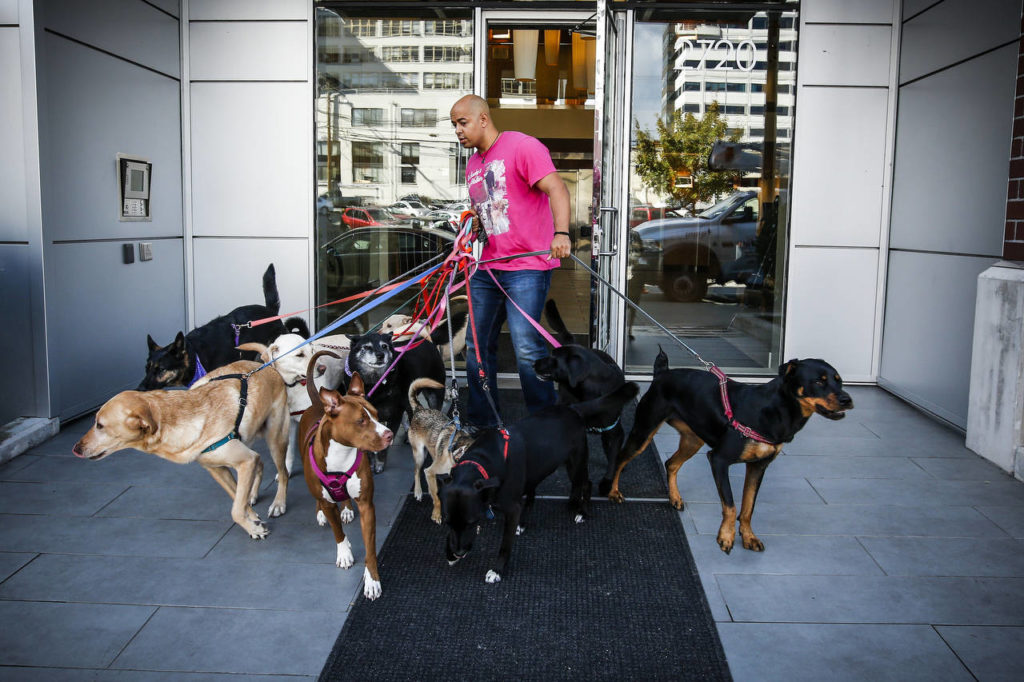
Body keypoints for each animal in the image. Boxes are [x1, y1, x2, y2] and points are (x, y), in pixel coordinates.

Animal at [73, 360, 288, 536]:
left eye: (100, 425)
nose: (76, 449)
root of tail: (264, 364)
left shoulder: (245, 461)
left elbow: (235, 510)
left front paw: (254, 529)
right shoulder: (217, 469)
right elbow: (237, 499)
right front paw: (253, 520)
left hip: (275, 438)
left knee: (283, 472)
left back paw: (278, 503)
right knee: (260, 462)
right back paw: (252, 493)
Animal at [299, 350, 393, 602]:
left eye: (377, 415)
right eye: (361, 420)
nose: (389, 434)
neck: (342, 454)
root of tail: (318, 403)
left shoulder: (367, 505)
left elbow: (370, 549)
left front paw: (371, 580)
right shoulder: (328, 501)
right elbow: (338, 532)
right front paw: (344, 553)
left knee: (345, 500)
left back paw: (348, 509)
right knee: (321, 501)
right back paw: (321, 512)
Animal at [405, 376, 473, 520]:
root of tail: (420, 409)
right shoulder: (429, 472)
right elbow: (437, 497)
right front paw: (436, 513)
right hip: (419, 454)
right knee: (416, 471)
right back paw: (418, 491)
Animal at [444, 378, 634, 581]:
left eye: (472, 522)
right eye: (447, 523)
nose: (459, 553)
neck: (481, 461)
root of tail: (572, 409)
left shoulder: (512, 508)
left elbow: (505, 545)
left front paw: (497, 570)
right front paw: (449, 553)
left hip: (577, 462)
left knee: (586, 483)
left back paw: (582, 512)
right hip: (563, 463)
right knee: (570, 485)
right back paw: (570, 503)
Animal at [606, 348, 856, 548]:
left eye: (839, 380)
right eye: (819, 381)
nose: (847, 400)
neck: (773, 408)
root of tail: (662, 373)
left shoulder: (758, 467)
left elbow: (748, 507)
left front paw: (748, 537)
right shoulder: (719, 460)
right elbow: (731, 504)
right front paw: (725, 537)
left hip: (693, 439)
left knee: (671, 463)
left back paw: (674, 497)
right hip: (644, 430)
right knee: (621, 458)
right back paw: (613, 492)